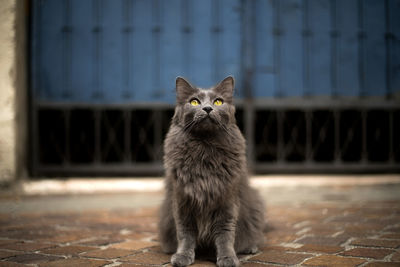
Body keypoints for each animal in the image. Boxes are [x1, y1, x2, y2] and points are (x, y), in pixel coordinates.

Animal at [159, 76, 266, 267]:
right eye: (194, 102)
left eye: (218, 102)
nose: (208, 108)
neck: (204, 149)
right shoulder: (182, 201)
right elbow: (185, 234)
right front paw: (182, 256)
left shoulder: (227, 200)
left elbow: (225, 235)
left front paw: (227, 258)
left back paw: (250, 247)